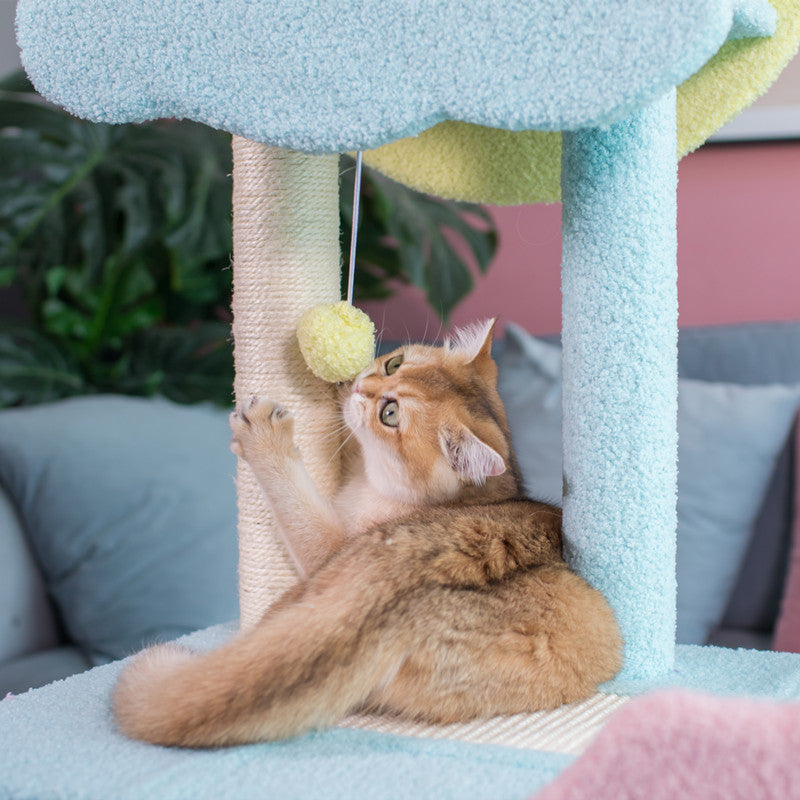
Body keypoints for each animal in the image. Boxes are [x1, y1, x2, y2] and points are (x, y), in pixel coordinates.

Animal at [114, 320, 624, 752]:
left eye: (391, 413)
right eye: (393, 363)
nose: (362, 385)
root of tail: (394, 592)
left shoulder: (329, 543)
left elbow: (302, 506)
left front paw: (268, 438)